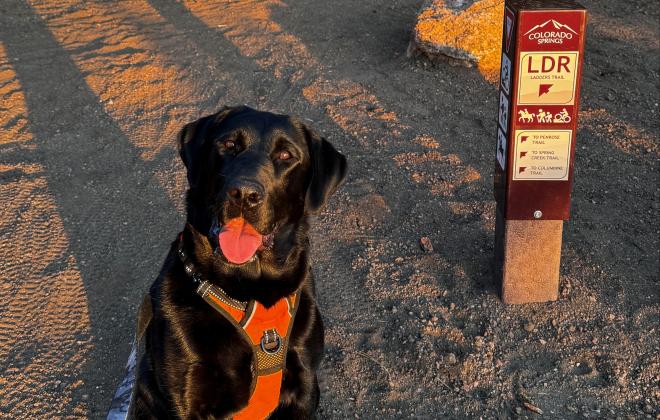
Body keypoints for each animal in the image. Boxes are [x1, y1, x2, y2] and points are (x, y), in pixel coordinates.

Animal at [133, 106, 348, 418]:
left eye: (286, 155)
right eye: (228, 144)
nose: (244, 194)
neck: (249, 288)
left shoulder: (305, 384)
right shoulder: (186, 398)